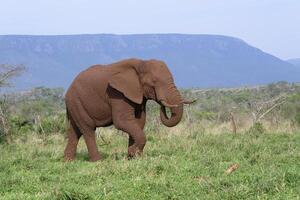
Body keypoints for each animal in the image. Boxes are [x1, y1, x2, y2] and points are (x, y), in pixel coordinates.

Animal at [63, 58, 195, 162]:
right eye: (154, 82)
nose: (161, 102)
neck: (141, 63)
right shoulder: (117, 93)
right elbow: (123, 121)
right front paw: (134, 153)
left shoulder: (138, 94)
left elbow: (139, 122)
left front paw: (133, 156)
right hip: (77, 101)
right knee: (88, 129)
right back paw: (97, 161)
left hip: (75, 104)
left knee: (75, 131)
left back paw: (68, 161)